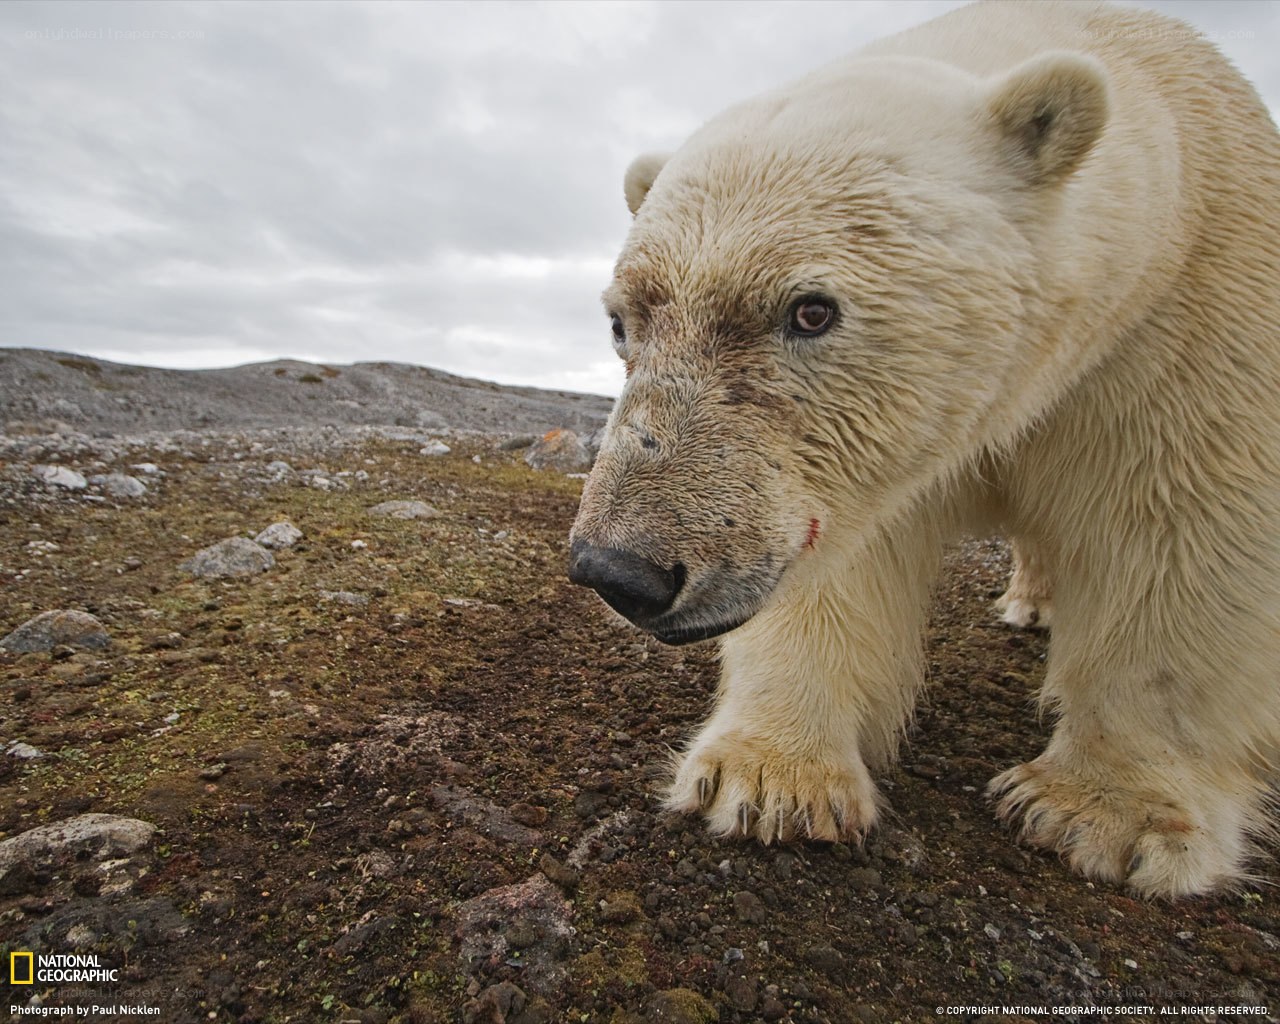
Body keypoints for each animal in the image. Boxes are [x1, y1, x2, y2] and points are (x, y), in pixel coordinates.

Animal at [568, 0, 1280, 899]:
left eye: (810, 310)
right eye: (621, 322)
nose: (619, 570)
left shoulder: (1185, 326)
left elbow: (1183, 534)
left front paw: (1105, 815)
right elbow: (845, 559)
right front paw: (769, 778)